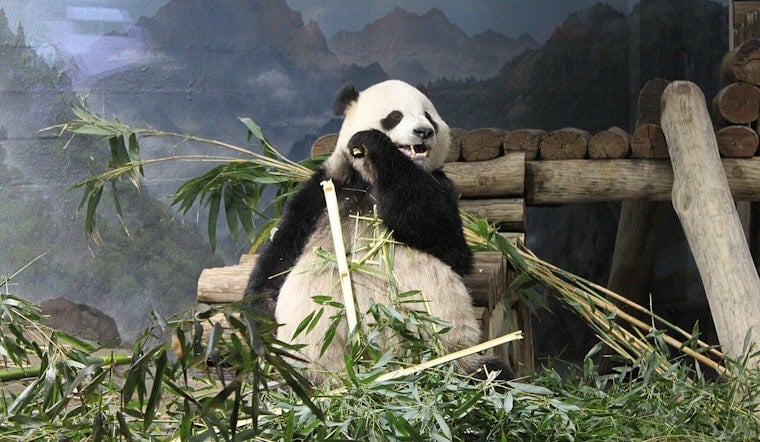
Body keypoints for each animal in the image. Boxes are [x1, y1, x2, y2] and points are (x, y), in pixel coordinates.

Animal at [245, 79, 512, 382]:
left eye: (428, 115)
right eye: (395, 116)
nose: (424, 131)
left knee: (486, 371)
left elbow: (448, 243)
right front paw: (261, 322)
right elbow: (280, 255)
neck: (366, 180)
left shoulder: (439, 185)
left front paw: (374, 144)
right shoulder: (322, 191)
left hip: (450, 349)